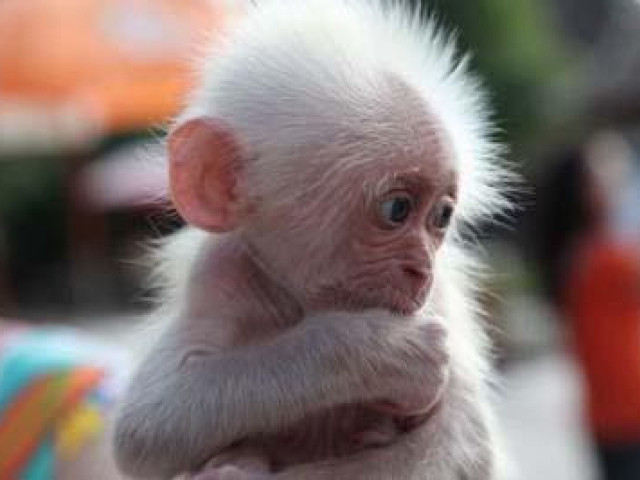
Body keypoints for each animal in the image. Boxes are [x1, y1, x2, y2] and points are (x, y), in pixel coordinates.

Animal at [113, 1, 512, 479]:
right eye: (397, 210)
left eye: (442, 216)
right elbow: (145, 428)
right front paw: (381, 351)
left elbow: (461, 446)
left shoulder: (439, 297)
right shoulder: (220, 270)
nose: (421, 270)